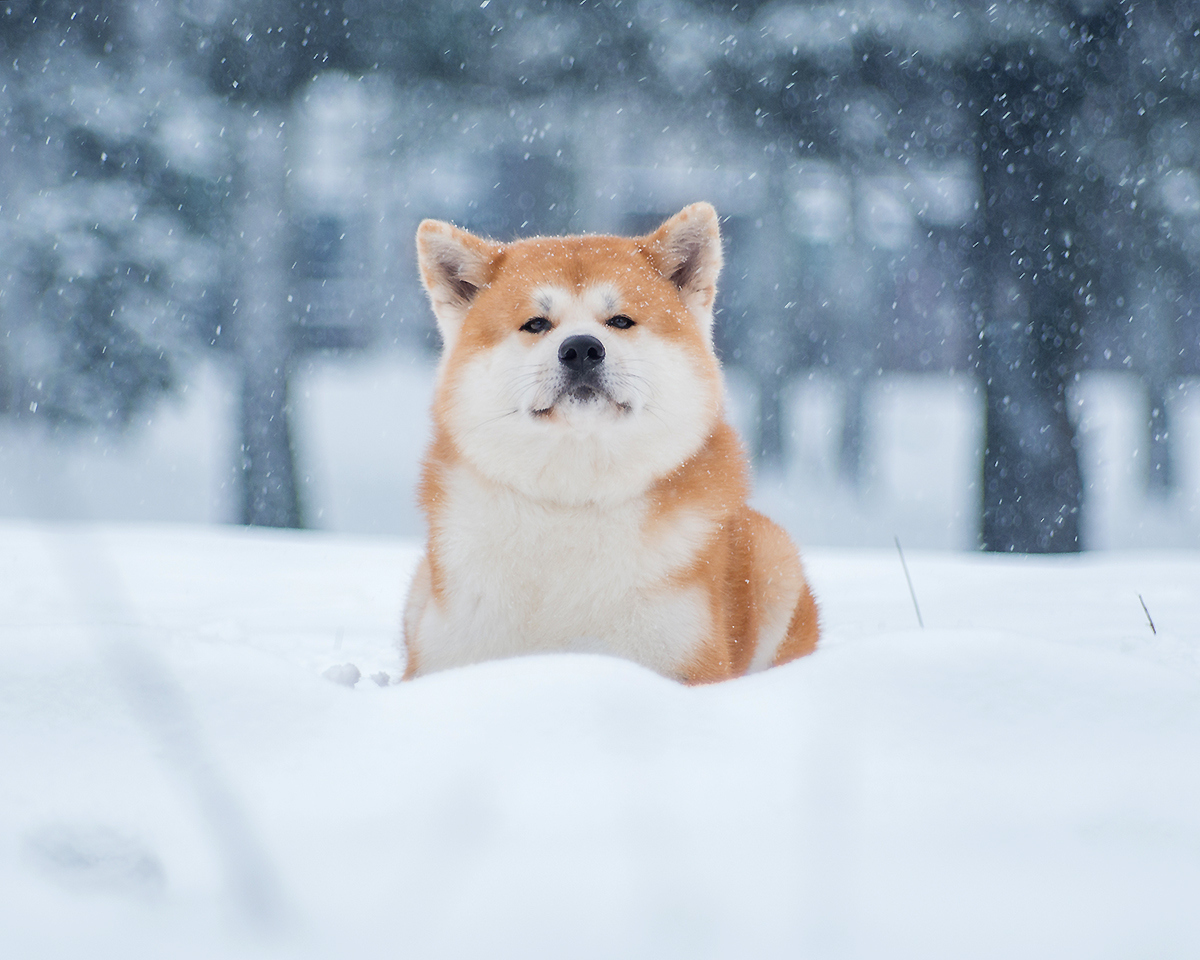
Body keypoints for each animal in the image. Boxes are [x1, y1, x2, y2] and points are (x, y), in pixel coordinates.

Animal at [400, 202, 816, 681]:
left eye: (620, 321)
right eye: (536, 324)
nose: (581, 348)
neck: (575, 500)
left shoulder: (687, 659)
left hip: (775, 559)